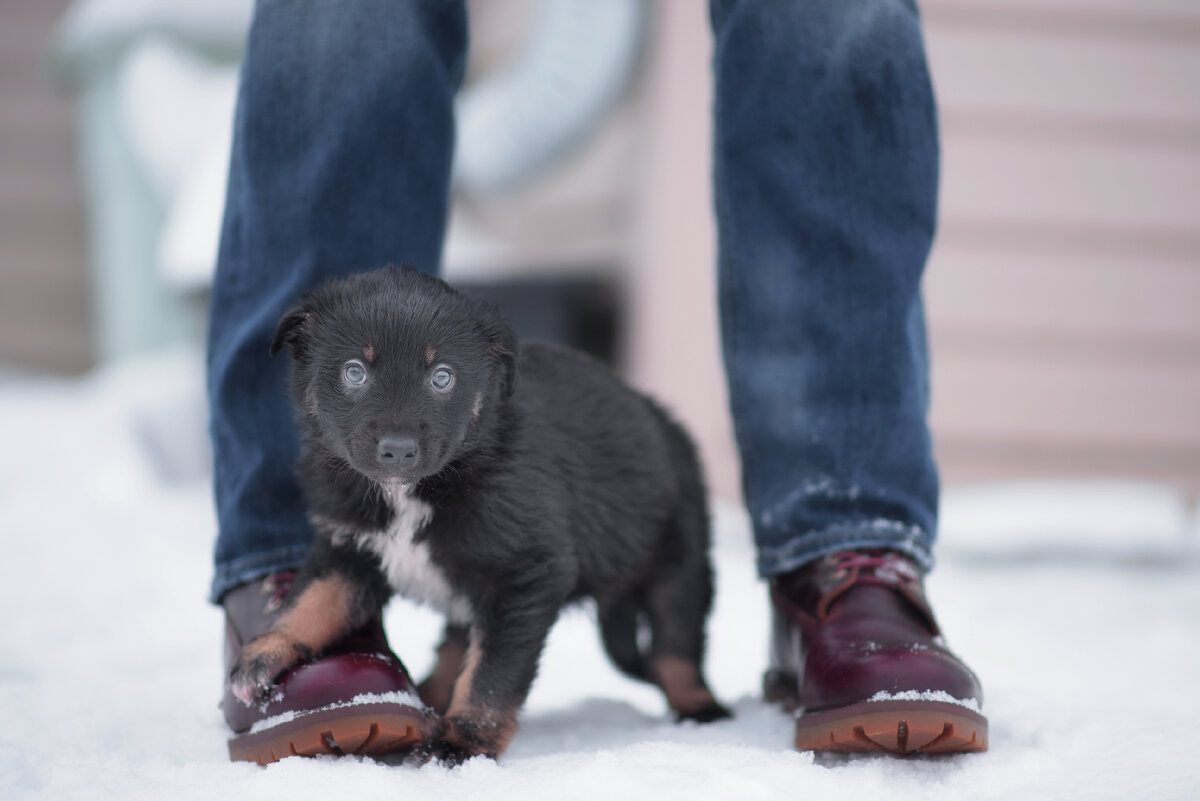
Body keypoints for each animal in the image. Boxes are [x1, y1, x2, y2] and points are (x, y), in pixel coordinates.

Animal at [228, 266, 724, 762]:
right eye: (355, 372)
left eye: (442, 377)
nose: (398, 450)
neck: (415, 493)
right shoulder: (348, 545)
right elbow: (312, 597)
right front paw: (265, 650)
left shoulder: (526, 576)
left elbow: (492, 675)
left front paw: (463, 739)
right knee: (456, 642)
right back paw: (425, 697)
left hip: (678, 557)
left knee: (675, 646)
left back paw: (700, 709)